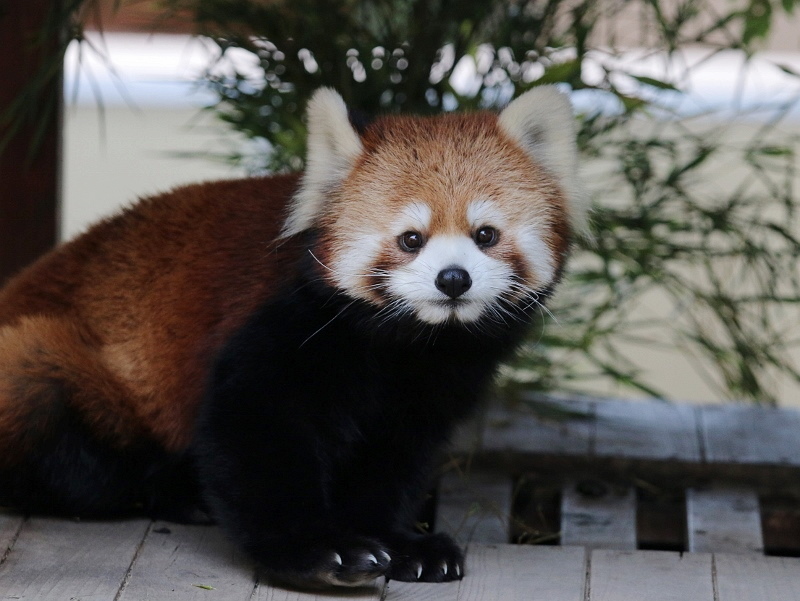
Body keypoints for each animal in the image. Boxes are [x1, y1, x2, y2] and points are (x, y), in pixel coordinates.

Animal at [0, 86, 588, 588]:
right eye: (410, 239)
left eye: (485, 235)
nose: (453, 279)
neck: (407, 344)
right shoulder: (281, 327)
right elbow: (257, 436)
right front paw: (319, 551)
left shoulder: (430, 385)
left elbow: (394, 458)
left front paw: (401, 543)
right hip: (50, 362)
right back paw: (172, 491)